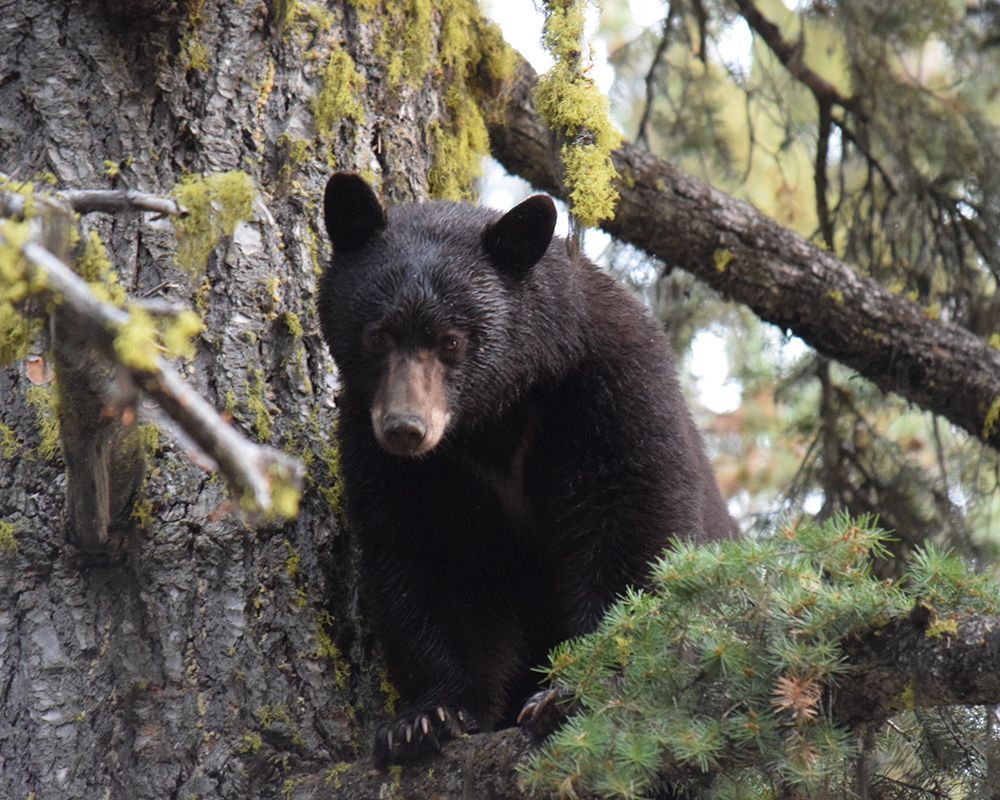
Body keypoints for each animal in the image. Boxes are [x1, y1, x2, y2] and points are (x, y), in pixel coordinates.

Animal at [317, 173, 736, 766]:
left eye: (451, 340)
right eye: (379, 335)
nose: (405, 428)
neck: (496, 416)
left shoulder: (614, 391)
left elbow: (630, 526)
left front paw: (570, 692)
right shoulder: (388, 458)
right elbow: (432, 561)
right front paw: (426, 719)